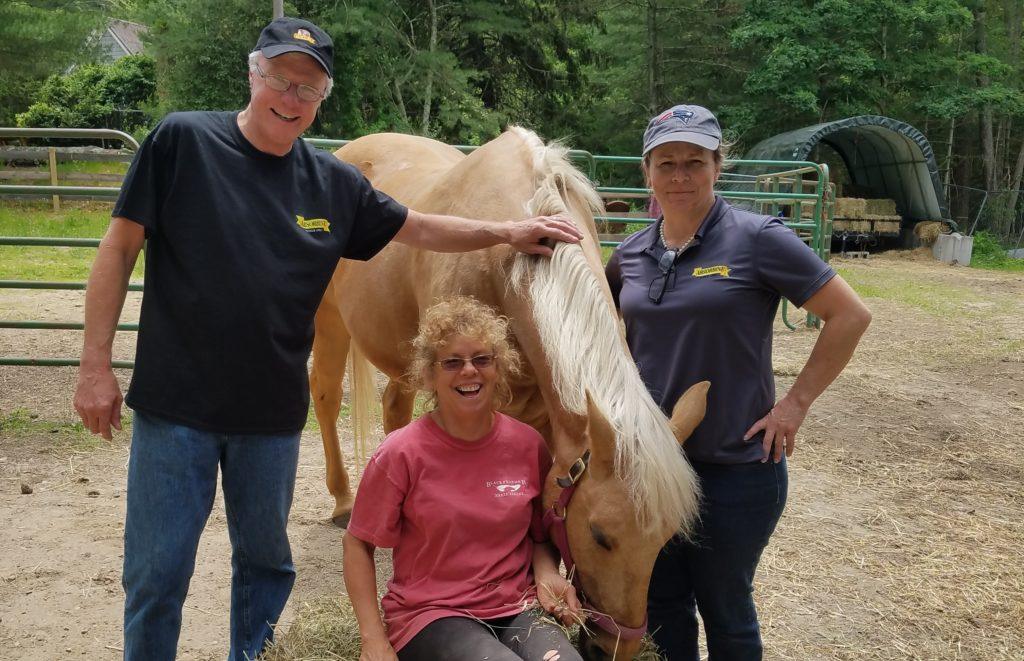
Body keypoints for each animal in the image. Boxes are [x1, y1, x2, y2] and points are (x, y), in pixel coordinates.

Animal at [311, 129, 708, 661]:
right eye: (600, 535)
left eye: (663, 540)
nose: (613, 647)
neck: (509, 258)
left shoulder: (548, 411)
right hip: (330, 322)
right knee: (326, 397)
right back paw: (343, 502)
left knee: (394, 409)